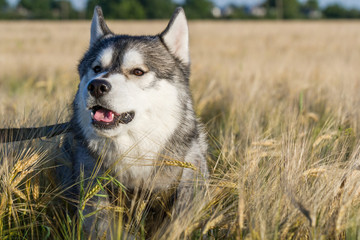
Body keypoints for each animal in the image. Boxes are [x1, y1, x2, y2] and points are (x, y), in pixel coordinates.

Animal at [60, 5, 210, 238]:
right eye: (96, 69)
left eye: (138, 71)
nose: (96, 86)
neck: (134, 152)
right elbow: (104, 222)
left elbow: (175, 224)